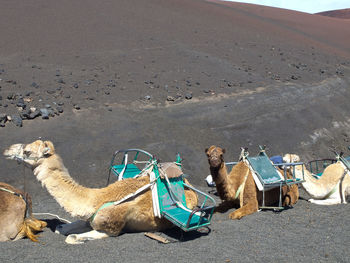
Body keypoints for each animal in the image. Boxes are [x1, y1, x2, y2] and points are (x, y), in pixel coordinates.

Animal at [3, 140, 197, 245]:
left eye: (27, 151)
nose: (6, 150)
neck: (94, 199)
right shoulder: (89, 220)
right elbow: (60, 228)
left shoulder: (111, 228)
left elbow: (71, 237)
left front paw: (78, 238)